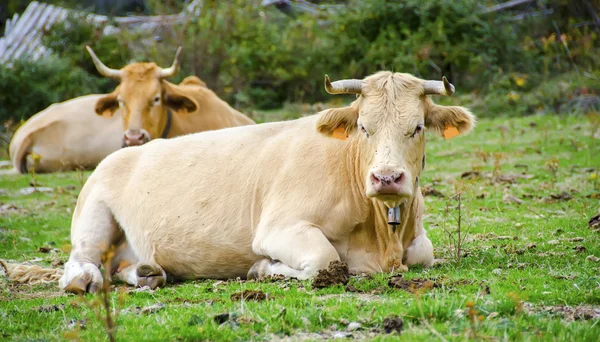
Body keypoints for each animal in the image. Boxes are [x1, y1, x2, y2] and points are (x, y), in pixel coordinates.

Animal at [58, 71, 476, 292]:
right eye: (363, 127)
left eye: (417, 127)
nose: (387, 177)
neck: (380, 234)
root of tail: (126, 151)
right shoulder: (279, 227)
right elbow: (327, 260)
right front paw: (262, 268)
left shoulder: (415, 239)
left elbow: (423, 253)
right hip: (94, 213)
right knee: (81, 261)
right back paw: (86, 279)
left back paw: (148, 272)